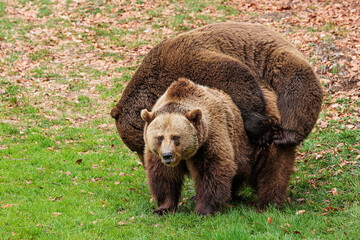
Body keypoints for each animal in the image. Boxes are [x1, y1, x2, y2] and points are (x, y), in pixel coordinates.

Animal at [110, 22, 324, 165]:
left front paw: (261, 134)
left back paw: (286, 135)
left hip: (276, 58)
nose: (145, 162)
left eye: (138, 146)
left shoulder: (190, 62)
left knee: (299, 87)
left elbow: (234, 75)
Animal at [141, 79, 282, 216]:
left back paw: (268, 204)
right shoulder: (157, 155)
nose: (168, 156)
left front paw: (204, 211)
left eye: (176, 137)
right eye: (159, 137)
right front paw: (163, 208)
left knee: (272, 171)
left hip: (262, 141)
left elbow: (211, 172)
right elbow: (165, 176)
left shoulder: (210, 139)